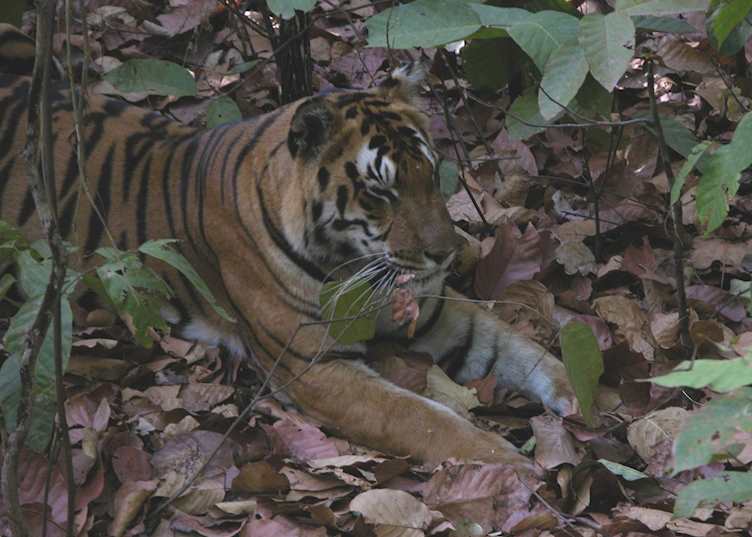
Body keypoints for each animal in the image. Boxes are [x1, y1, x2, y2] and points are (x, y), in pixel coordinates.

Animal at [0, 24, 576, 471]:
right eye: (382, 192)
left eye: (431, 175)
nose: (446, 253)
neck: (352, 263)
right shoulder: (315, 367)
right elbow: (421, 418)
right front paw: (512, 466)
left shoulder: (435, 314)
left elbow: (520, 349)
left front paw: (577, 396)